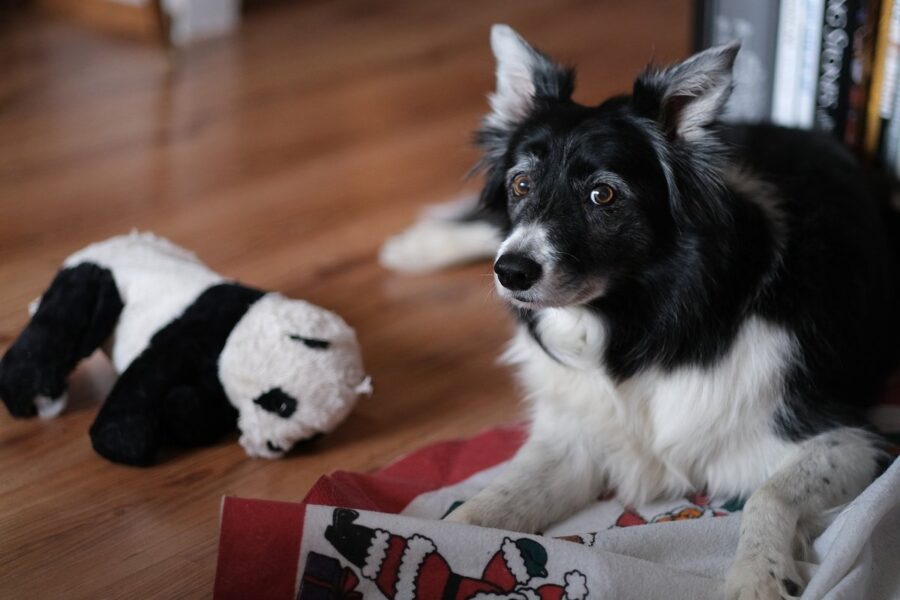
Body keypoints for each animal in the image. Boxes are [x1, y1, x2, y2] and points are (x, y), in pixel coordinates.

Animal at [382, 24, 900, 600]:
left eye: (603, 195)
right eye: (521, 184)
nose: (510, 273)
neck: (634, 322)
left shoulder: (850, 438)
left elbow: (770, 494)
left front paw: (755, 579)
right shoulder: (575, 437)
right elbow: (482, 508)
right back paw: (417, 247)